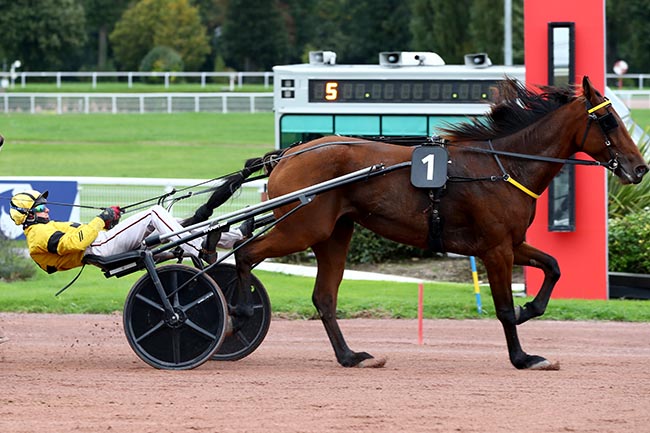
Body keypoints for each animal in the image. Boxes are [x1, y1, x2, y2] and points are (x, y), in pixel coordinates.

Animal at [191, 76, 644, 370]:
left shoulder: (510, 243)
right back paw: (240, 311)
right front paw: (522, 355)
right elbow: (502, 308)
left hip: (334, 234)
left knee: (323, 298)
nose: (639, 168)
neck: (503, 166)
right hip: (302, 228)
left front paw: (530, 307)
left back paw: (350, 356)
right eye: (609, 121)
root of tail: (285, 154)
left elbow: (553, 266)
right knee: (246, 253)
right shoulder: (495, 248)